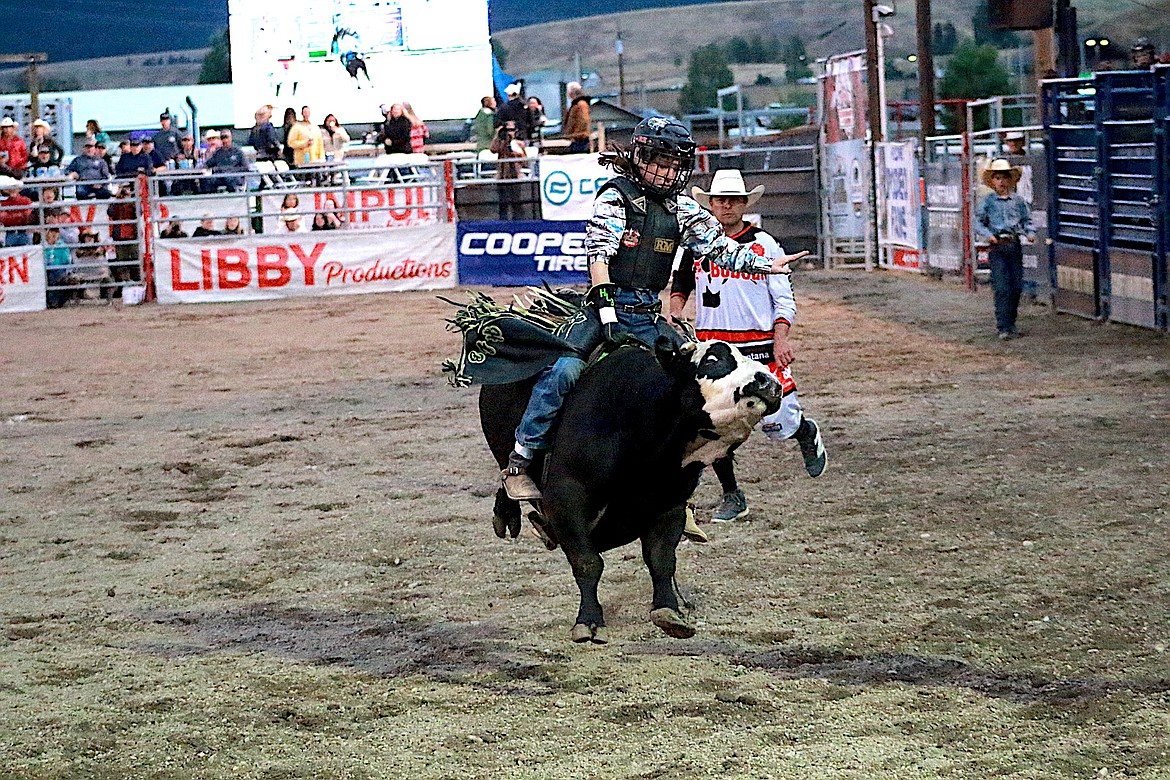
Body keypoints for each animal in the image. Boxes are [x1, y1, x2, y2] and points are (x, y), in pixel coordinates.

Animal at [479, 339, 781, 645]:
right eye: (711, 359)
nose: (768, 381)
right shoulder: (565, 499)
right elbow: (588, 563)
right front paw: (589, 621)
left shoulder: (669, 505)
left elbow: (661, 560)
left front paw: (668, 611)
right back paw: (508, 510)